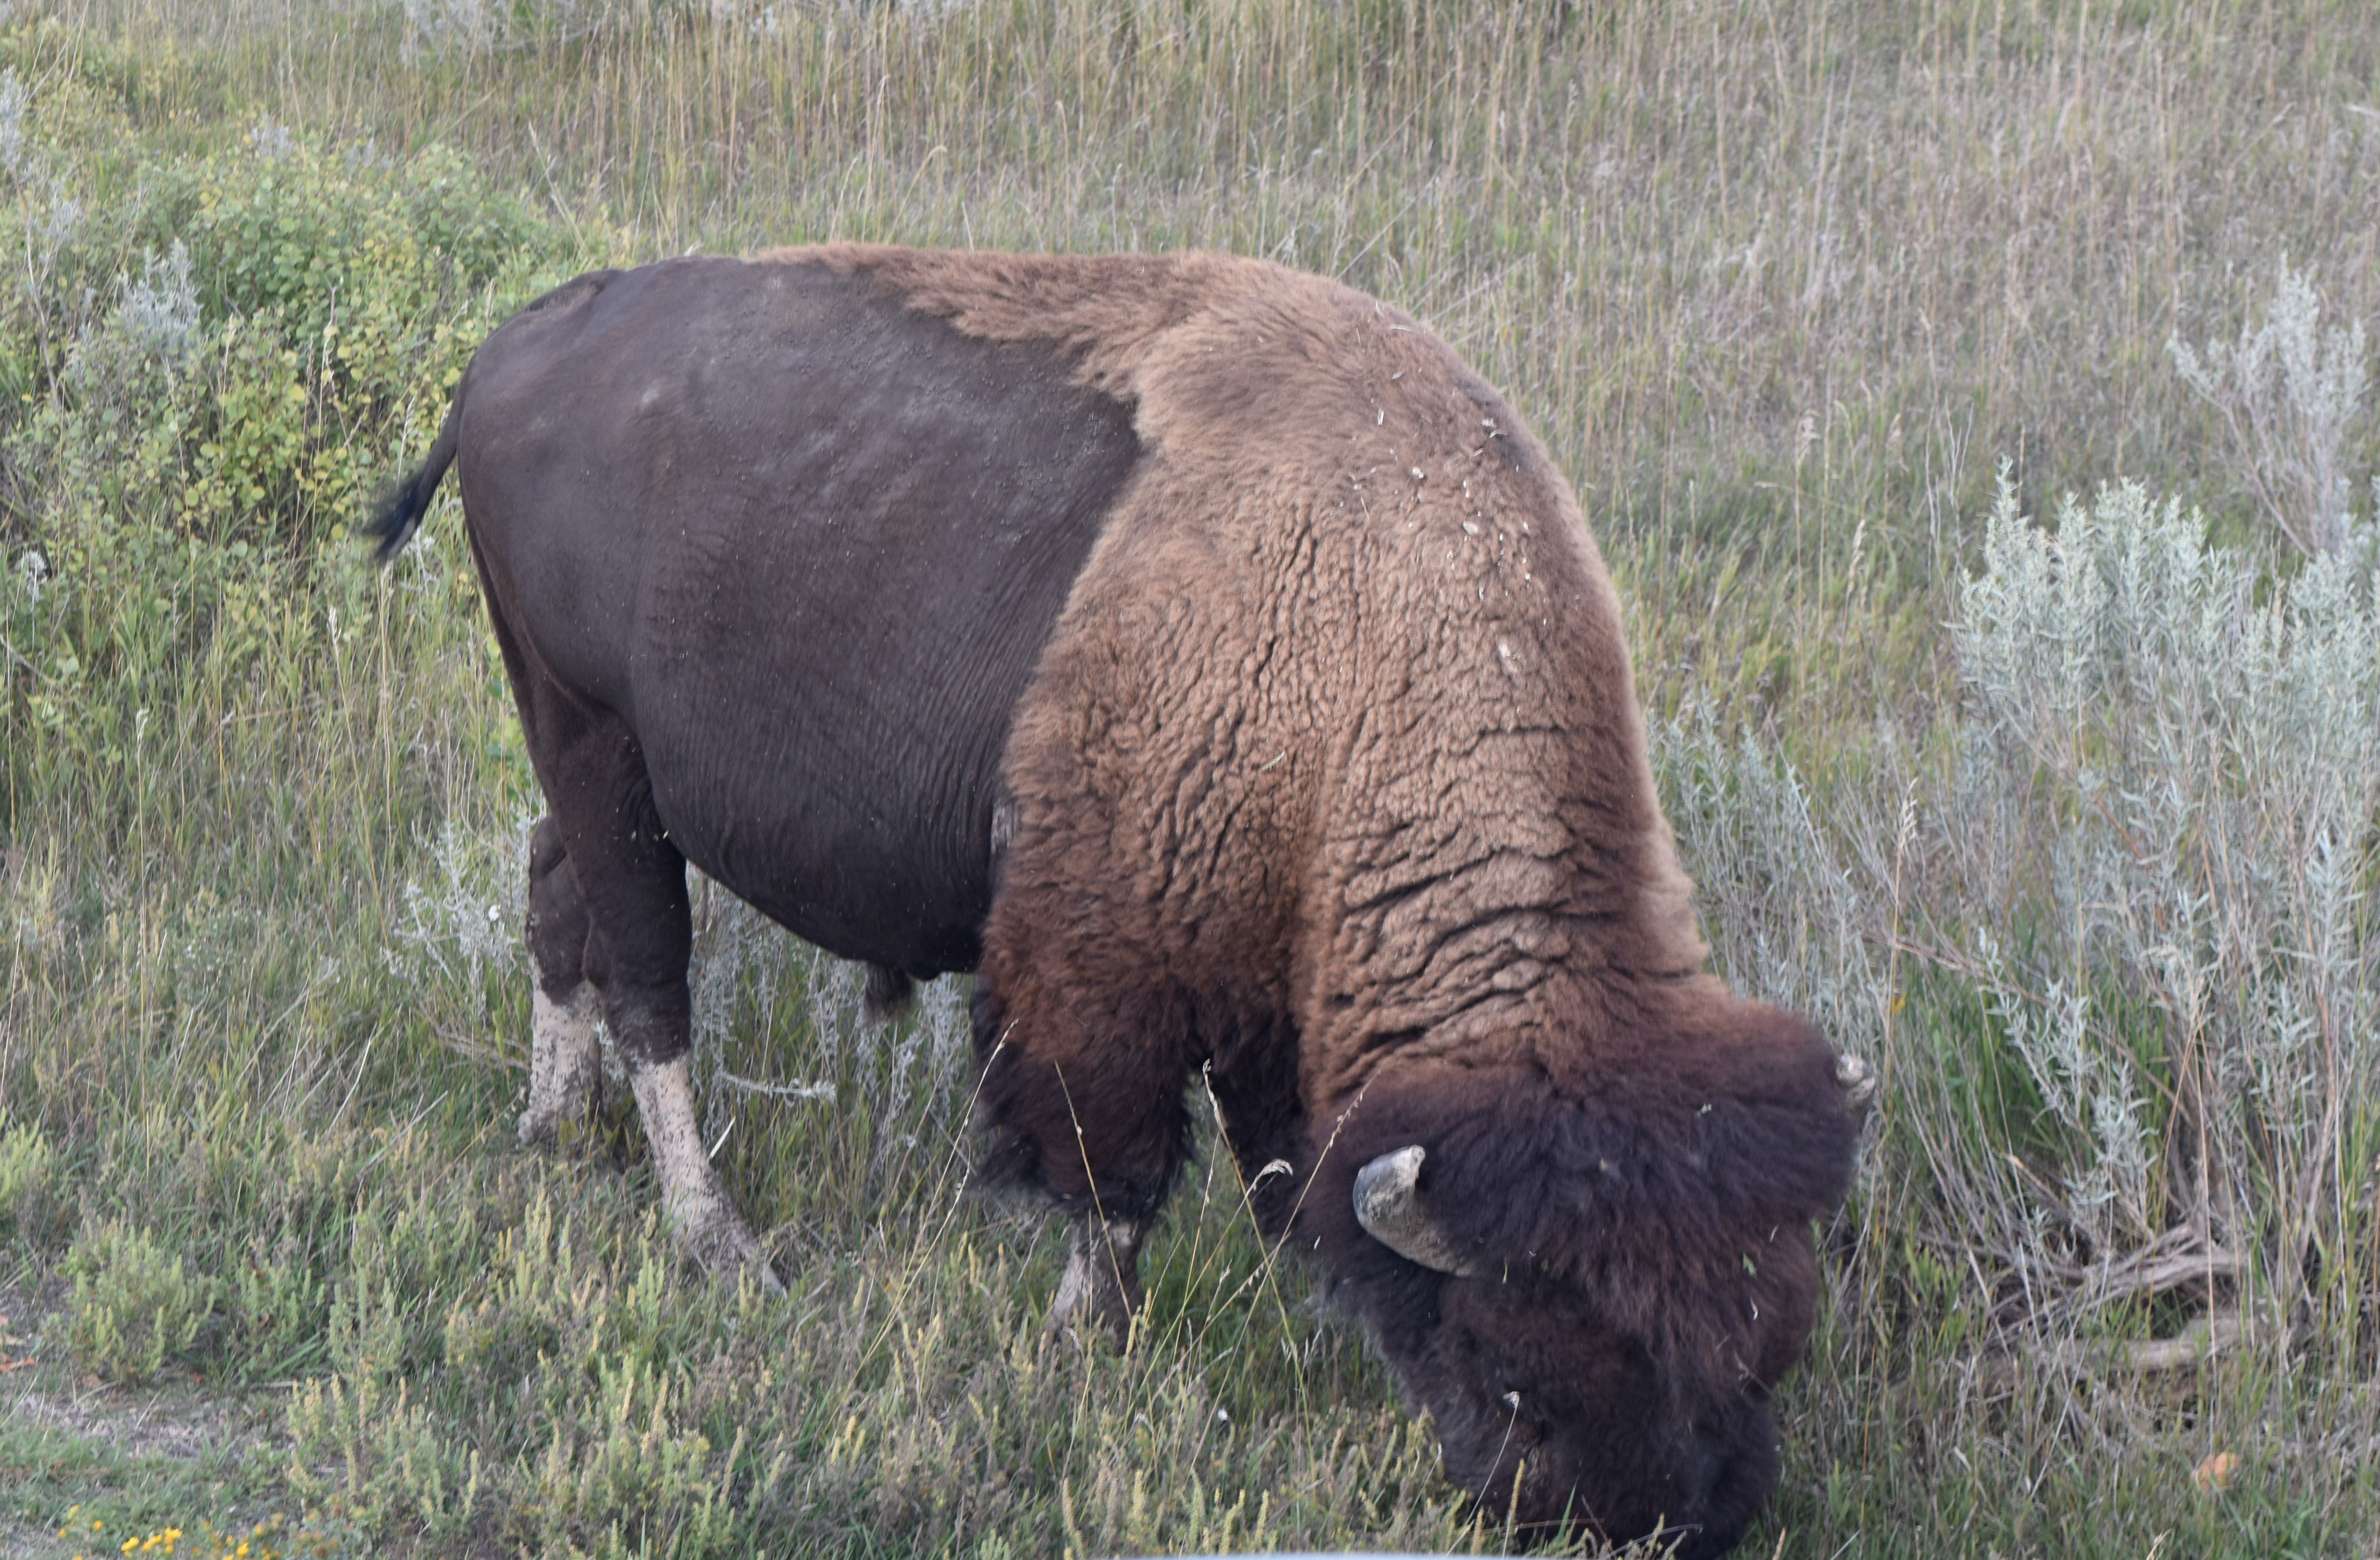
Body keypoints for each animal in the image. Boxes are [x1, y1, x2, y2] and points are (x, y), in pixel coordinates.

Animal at [370, 245, 1867, 1557]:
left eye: (1769, 1343)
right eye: (1522, 1358)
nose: (1673, 1524)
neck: (1366, 628)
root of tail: (512, 347)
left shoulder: (1264, 990)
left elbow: (1281, 1176)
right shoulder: (1106, 963)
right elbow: (1112, 1166)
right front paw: (1090, 1341)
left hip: (595, 769)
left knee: (558, 906)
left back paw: (552, 1132)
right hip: (595, 740)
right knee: (647, 977)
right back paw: (717, 1240)